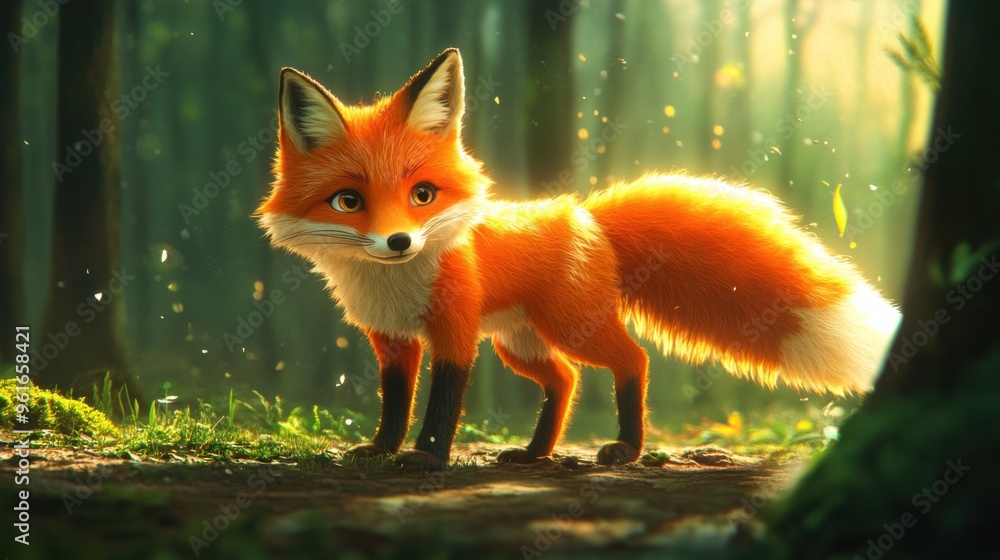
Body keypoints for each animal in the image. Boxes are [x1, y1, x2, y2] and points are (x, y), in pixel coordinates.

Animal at [256, 48, 900, 470]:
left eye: (422, 195)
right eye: (349, 201)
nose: (398, 243)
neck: (397, 284)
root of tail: (588, 215)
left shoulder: (456, 332)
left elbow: (442, 403)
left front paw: (428, 459)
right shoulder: (391, 338)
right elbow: (395, 403)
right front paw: (384, 450)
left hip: (569, 326)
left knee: (631, 360)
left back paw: (627, 450)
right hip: (520, 344)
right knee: (564, 379)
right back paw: (535, 453)